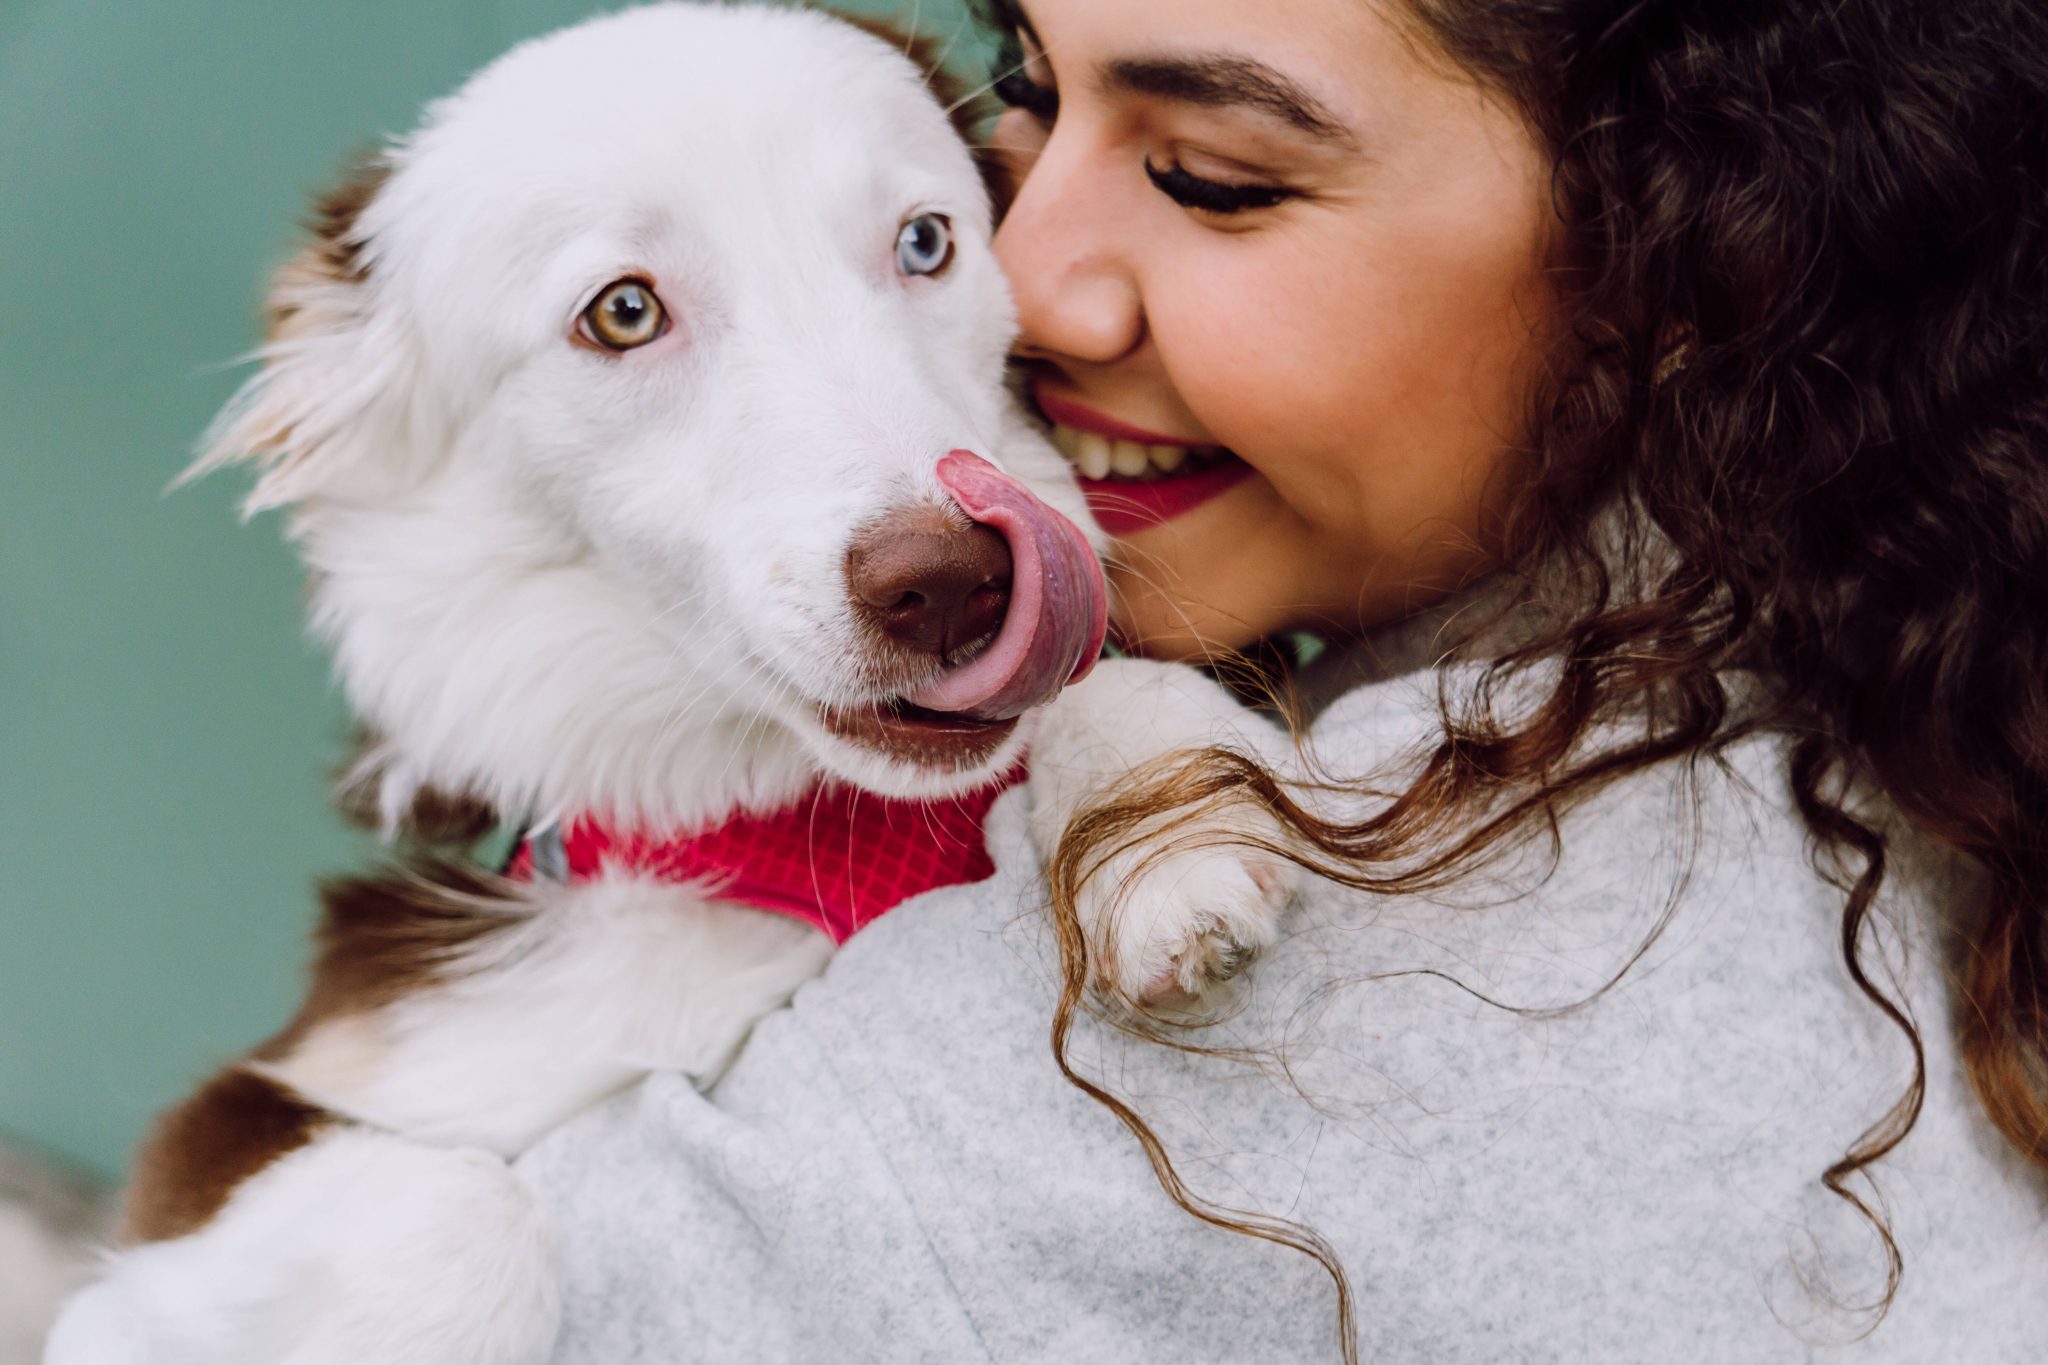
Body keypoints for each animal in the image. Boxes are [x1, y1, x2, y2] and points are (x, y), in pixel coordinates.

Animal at [48, 5, 1286, 1358]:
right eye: (624, 312)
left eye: (925, 242)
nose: (956, 583)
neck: (789, 839)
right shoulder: (297, 1089)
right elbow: (465, 1206)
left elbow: (1103, 690)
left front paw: (1161, 832)